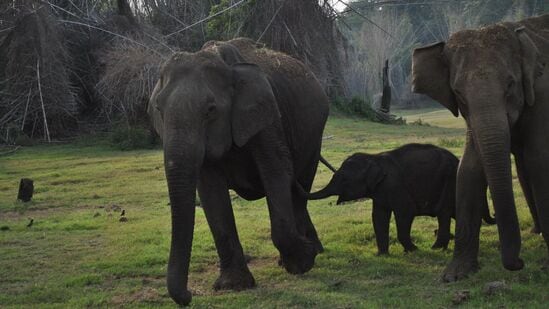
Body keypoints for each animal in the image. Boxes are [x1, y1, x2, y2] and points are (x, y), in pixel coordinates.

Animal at [150, 37, 328, 304]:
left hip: (314, 135)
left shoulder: (267, 118)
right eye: (159, 109)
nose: (189, 296)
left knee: (300, 187)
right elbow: (211, 191)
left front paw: (302, 263)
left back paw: (310, 252)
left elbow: (276, 172)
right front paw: (233, 285)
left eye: (210, 110)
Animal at [306, 143, 494, 254]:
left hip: (448, 182)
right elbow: (378, 217)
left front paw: (413, 250)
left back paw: (436, 248)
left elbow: (405, 213)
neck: (374, 157)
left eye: (344, 179)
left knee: (443, 213)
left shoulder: (396, 186)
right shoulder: (380, 191)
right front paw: (381, 254)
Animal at [412, 13, 548, 280]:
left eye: (510, 84)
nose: (519, 262)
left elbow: (540, 161)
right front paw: (455, 275)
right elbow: (469, 168)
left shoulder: (543, 94)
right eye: (458, 93)